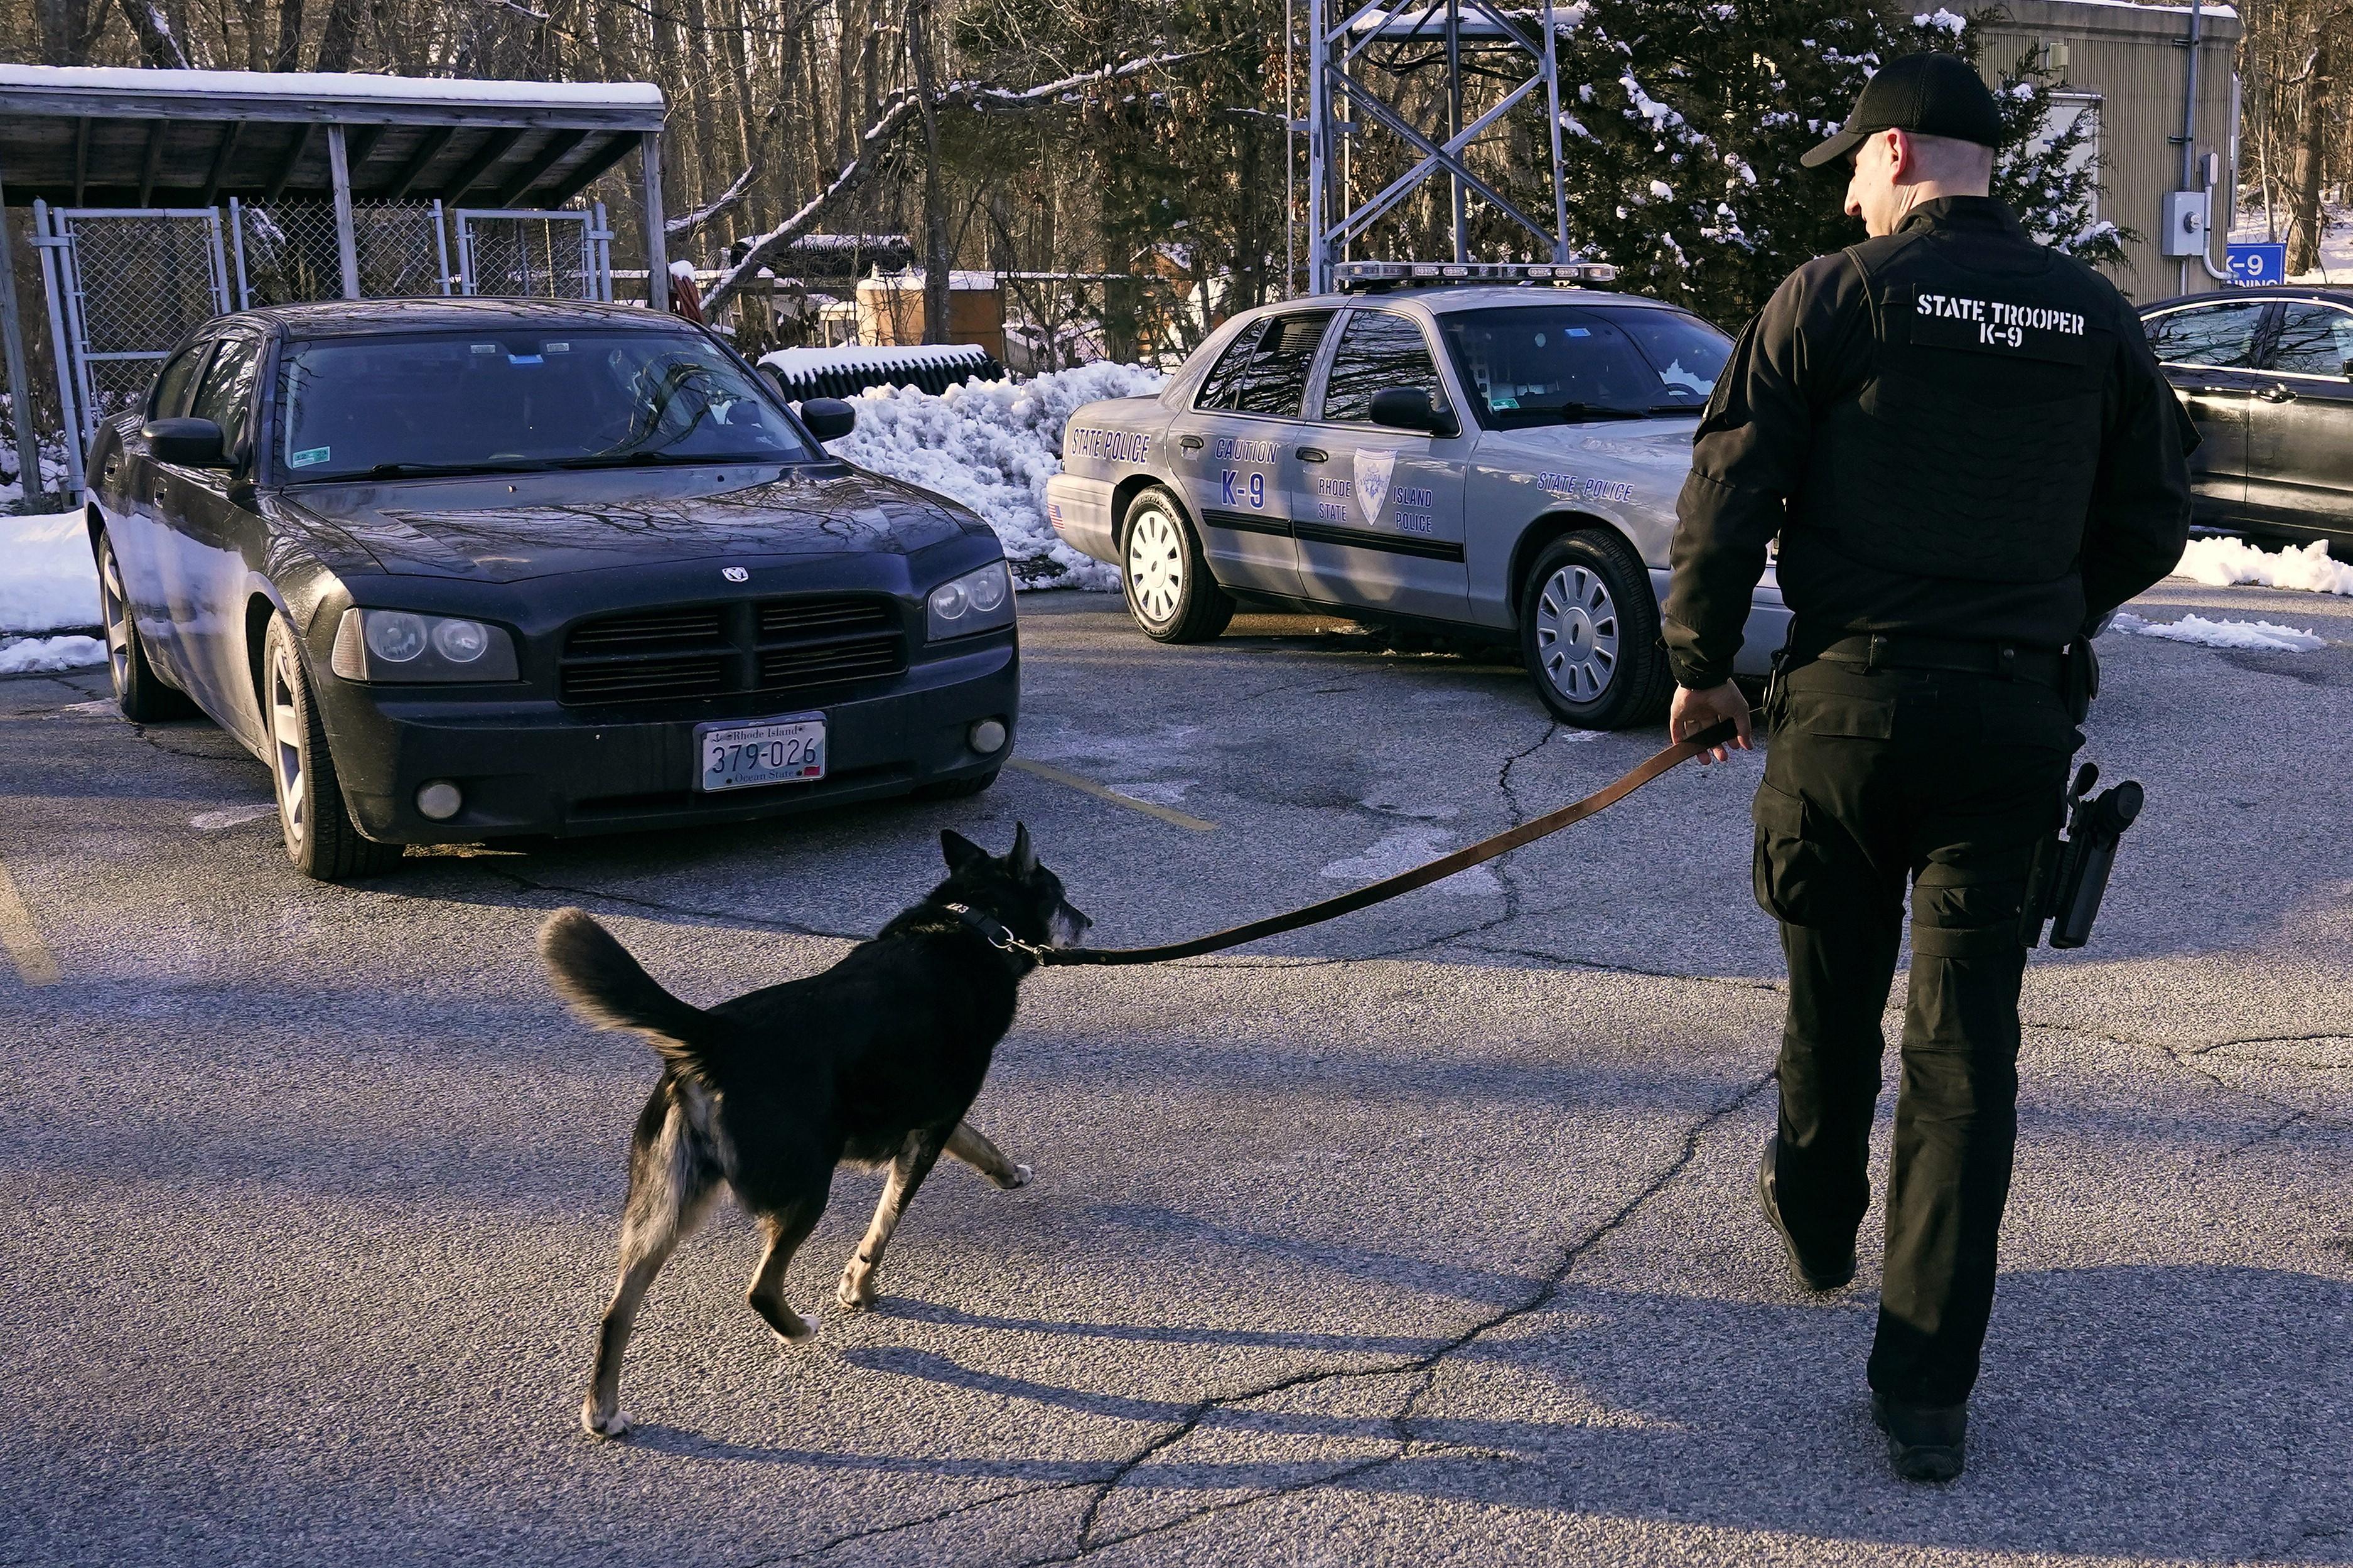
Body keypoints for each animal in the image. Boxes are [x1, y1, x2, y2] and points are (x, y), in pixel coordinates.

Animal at [539, 824, 1087, 1431]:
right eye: (1061, 894)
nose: (1088, 922)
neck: (973, 923)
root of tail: (715, 1037)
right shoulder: (929, 1129)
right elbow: (884, 1225)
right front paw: (859, 1290)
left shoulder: (933, 1118)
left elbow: (977, 1143)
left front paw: (1008, 1172)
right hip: (805, 1191)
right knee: (761, 1288)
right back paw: (798, 1329)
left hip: (665, 1206)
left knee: (617, 1312)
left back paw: (603, 1411)